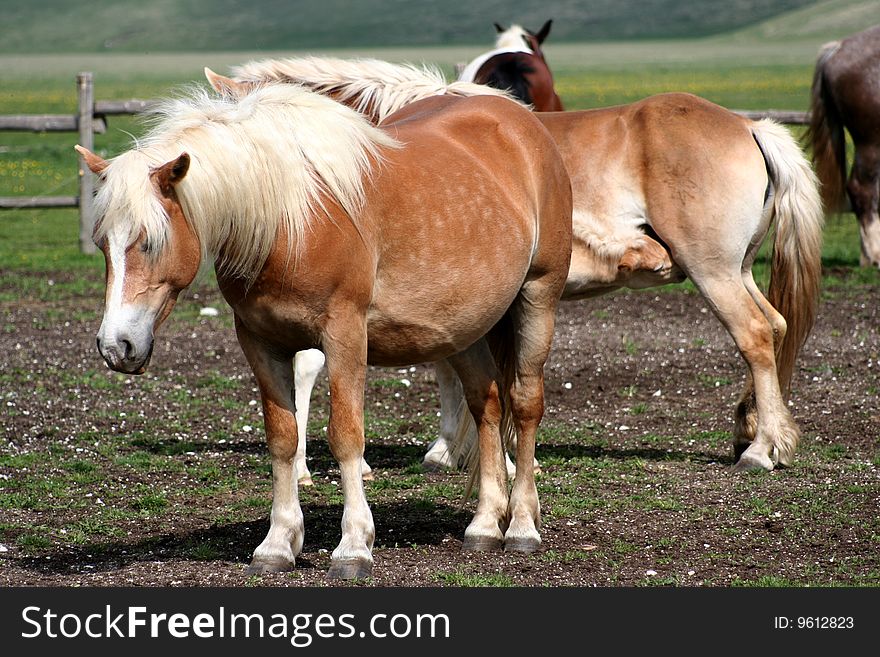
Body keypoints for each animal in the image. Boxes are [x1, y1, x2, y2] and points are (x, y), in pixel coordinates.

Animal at [74, 79, 572, 576]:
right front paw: (278, 543)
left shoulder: (345, 335)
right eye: (101, 243)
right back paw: (485, 525)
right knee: (486, 407)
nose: (116, 346)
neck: (287, 221)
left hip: (537, 298)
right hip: (464, 327)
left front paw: (353, 546)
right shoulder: (260, 341)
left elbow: (345, 436)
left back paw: (522, 526)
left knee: (524, 405)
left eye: (150, 241)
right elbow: (283, 438)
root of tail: (523, 121)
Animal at [211, 53, 824, 480]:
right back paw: (754, 430)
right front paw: (453, 450)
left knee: (753, 336)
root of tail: (750, 126)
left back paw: (762, 451)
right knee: (774, 327)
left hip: (712, 271)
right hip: (736, 271)